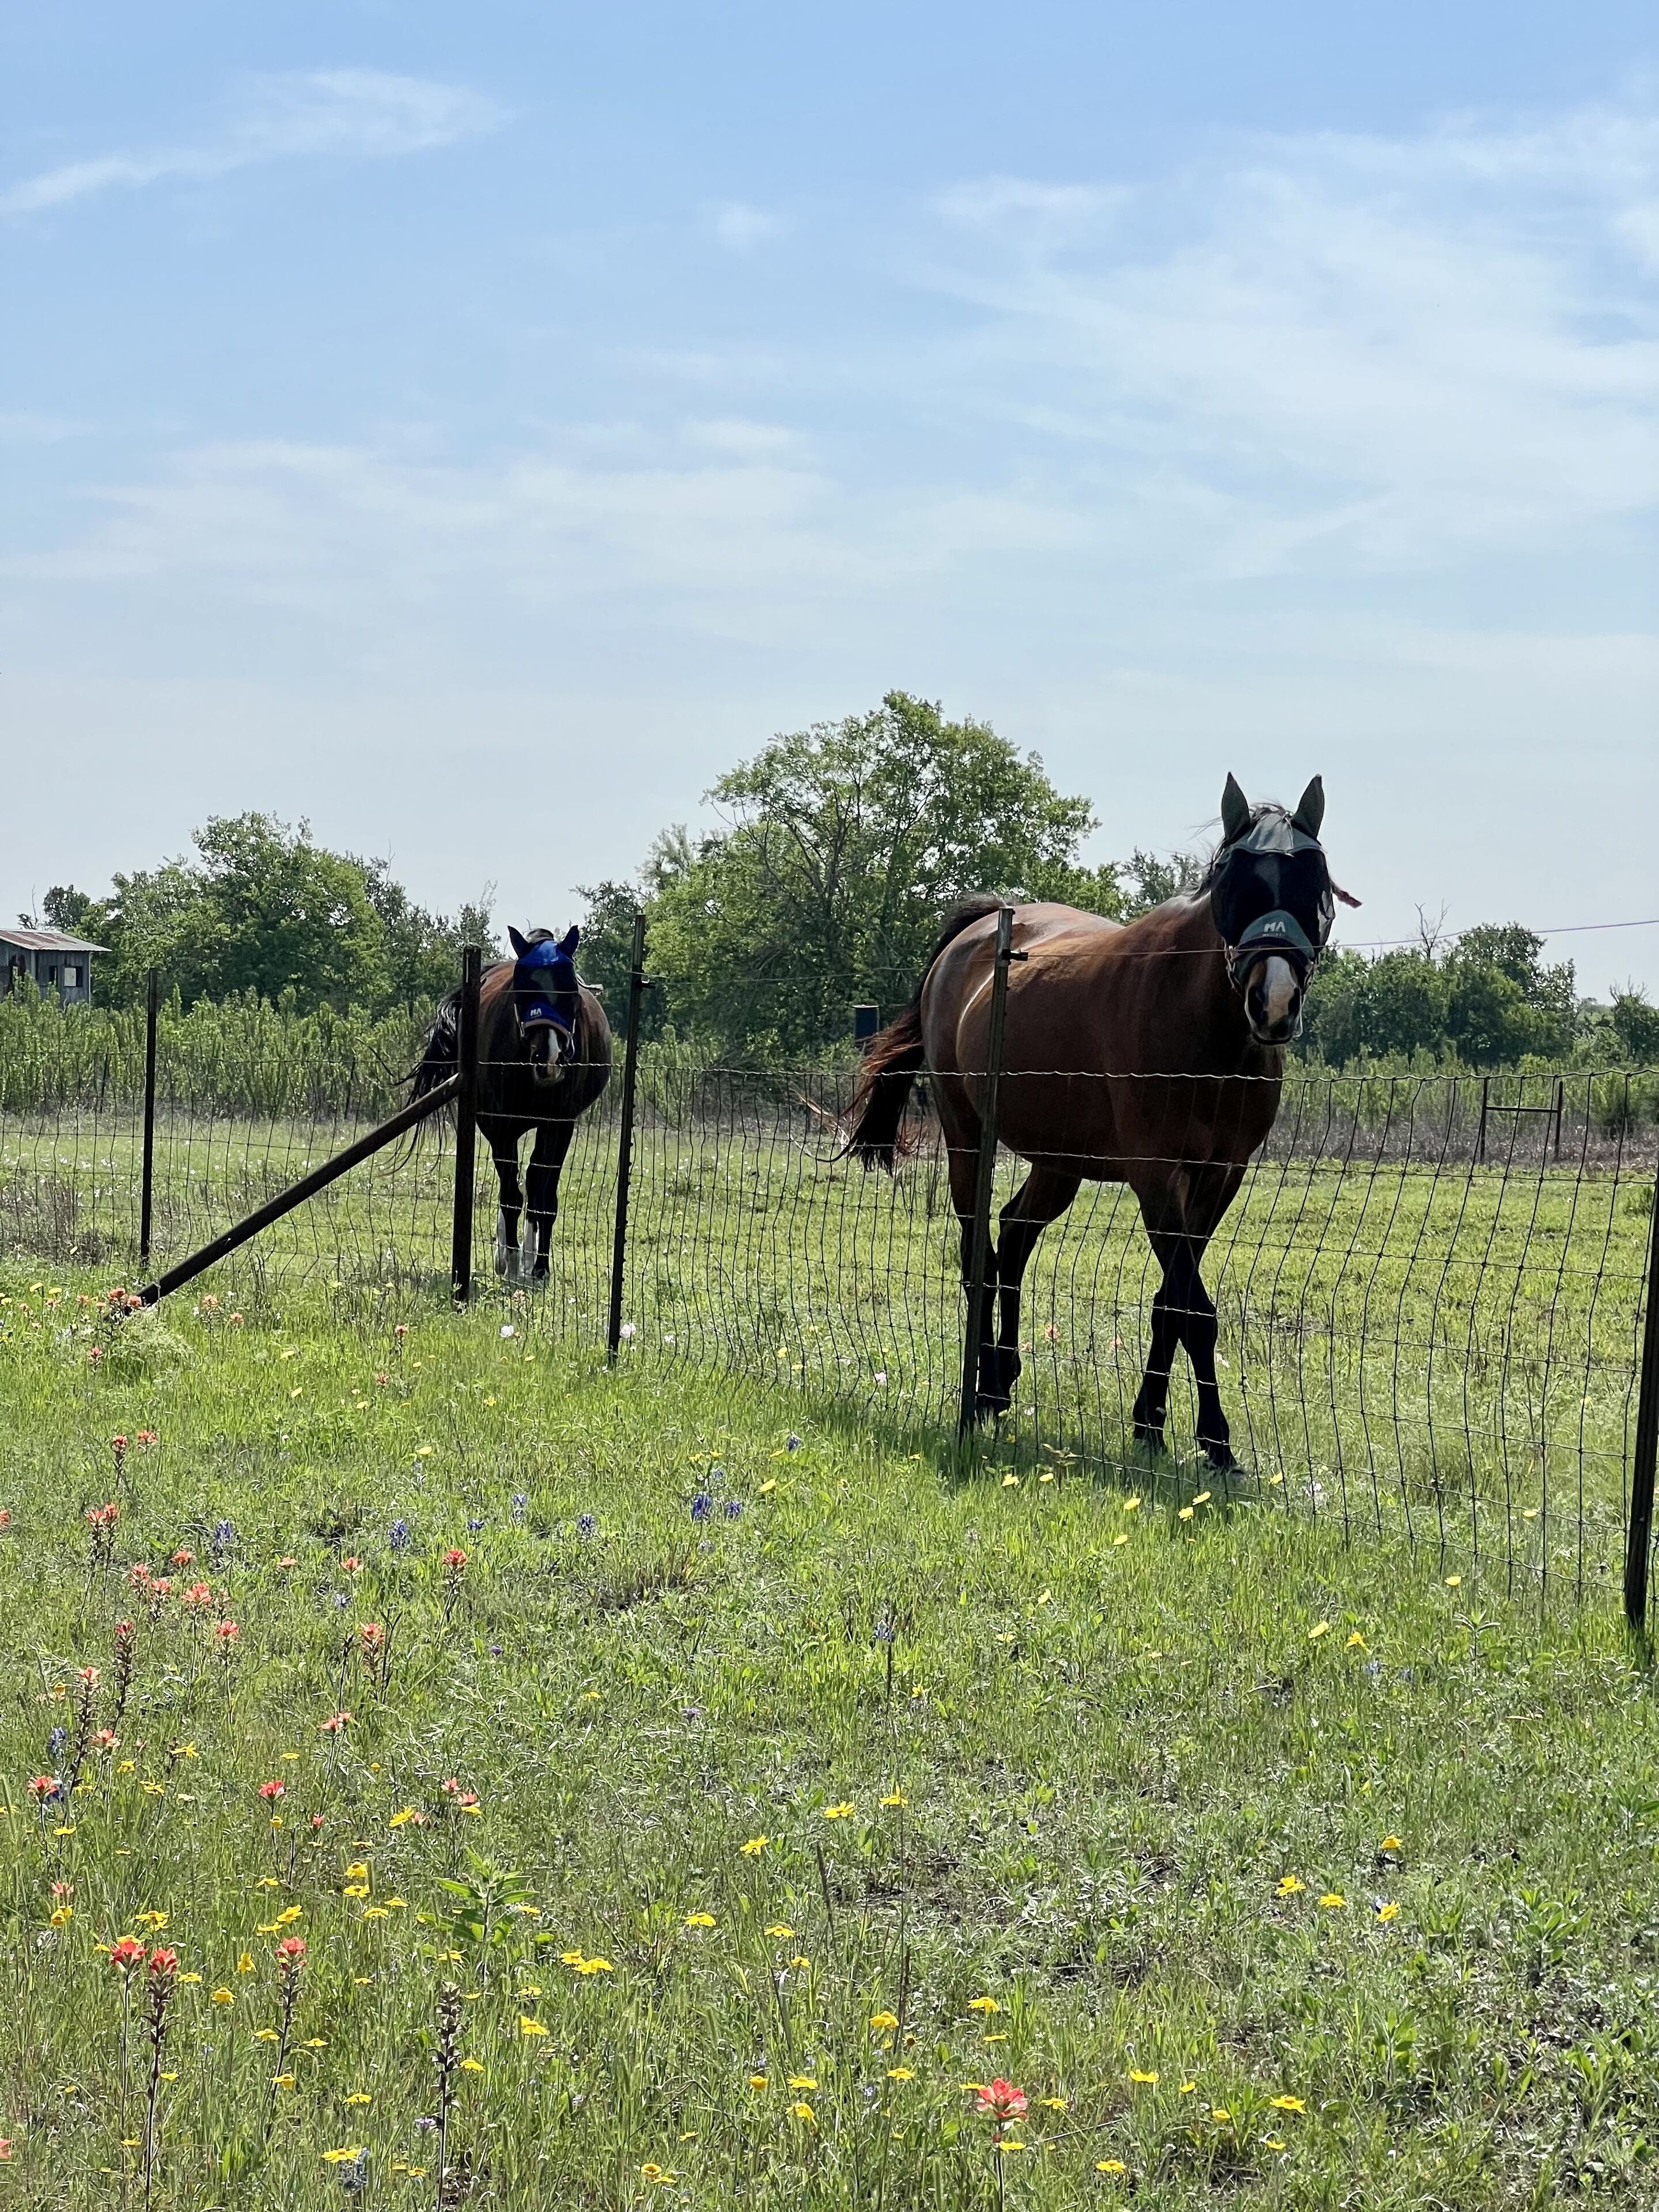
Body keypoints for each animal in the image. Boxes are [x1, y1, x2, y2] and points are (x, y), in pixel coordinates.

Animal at [410, 926, 612, 1283]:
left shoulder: (559, 1125)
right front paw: (513, 1262)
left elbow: (543, 1196)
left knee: (533, 1181)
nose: (549, 1058)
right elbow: (510, 1196)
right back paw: (507, 1256)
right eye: (523, 988)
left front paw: (540, 1267)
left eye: (570, 989)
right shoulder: (499, 1125)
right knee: (514, 1186)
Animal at [844, 775, 1353, 1468]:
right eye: (1231, 880)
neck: (1205, 1030)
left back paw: (1002, 1383)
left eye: (1316, 880)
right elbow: (1195, 1310)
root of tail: (976, 934)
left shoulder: (1219, 1178)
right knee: (980, 1255)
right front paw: (1216, 1441)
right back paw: (981, 1391)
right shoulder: (1157, 1177)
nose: (1273, 1003)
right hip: (968, 1138)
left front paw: (1151, 1421)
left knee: (1015, 1237)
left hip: (1060, 1163)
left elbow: (1172, 1302)